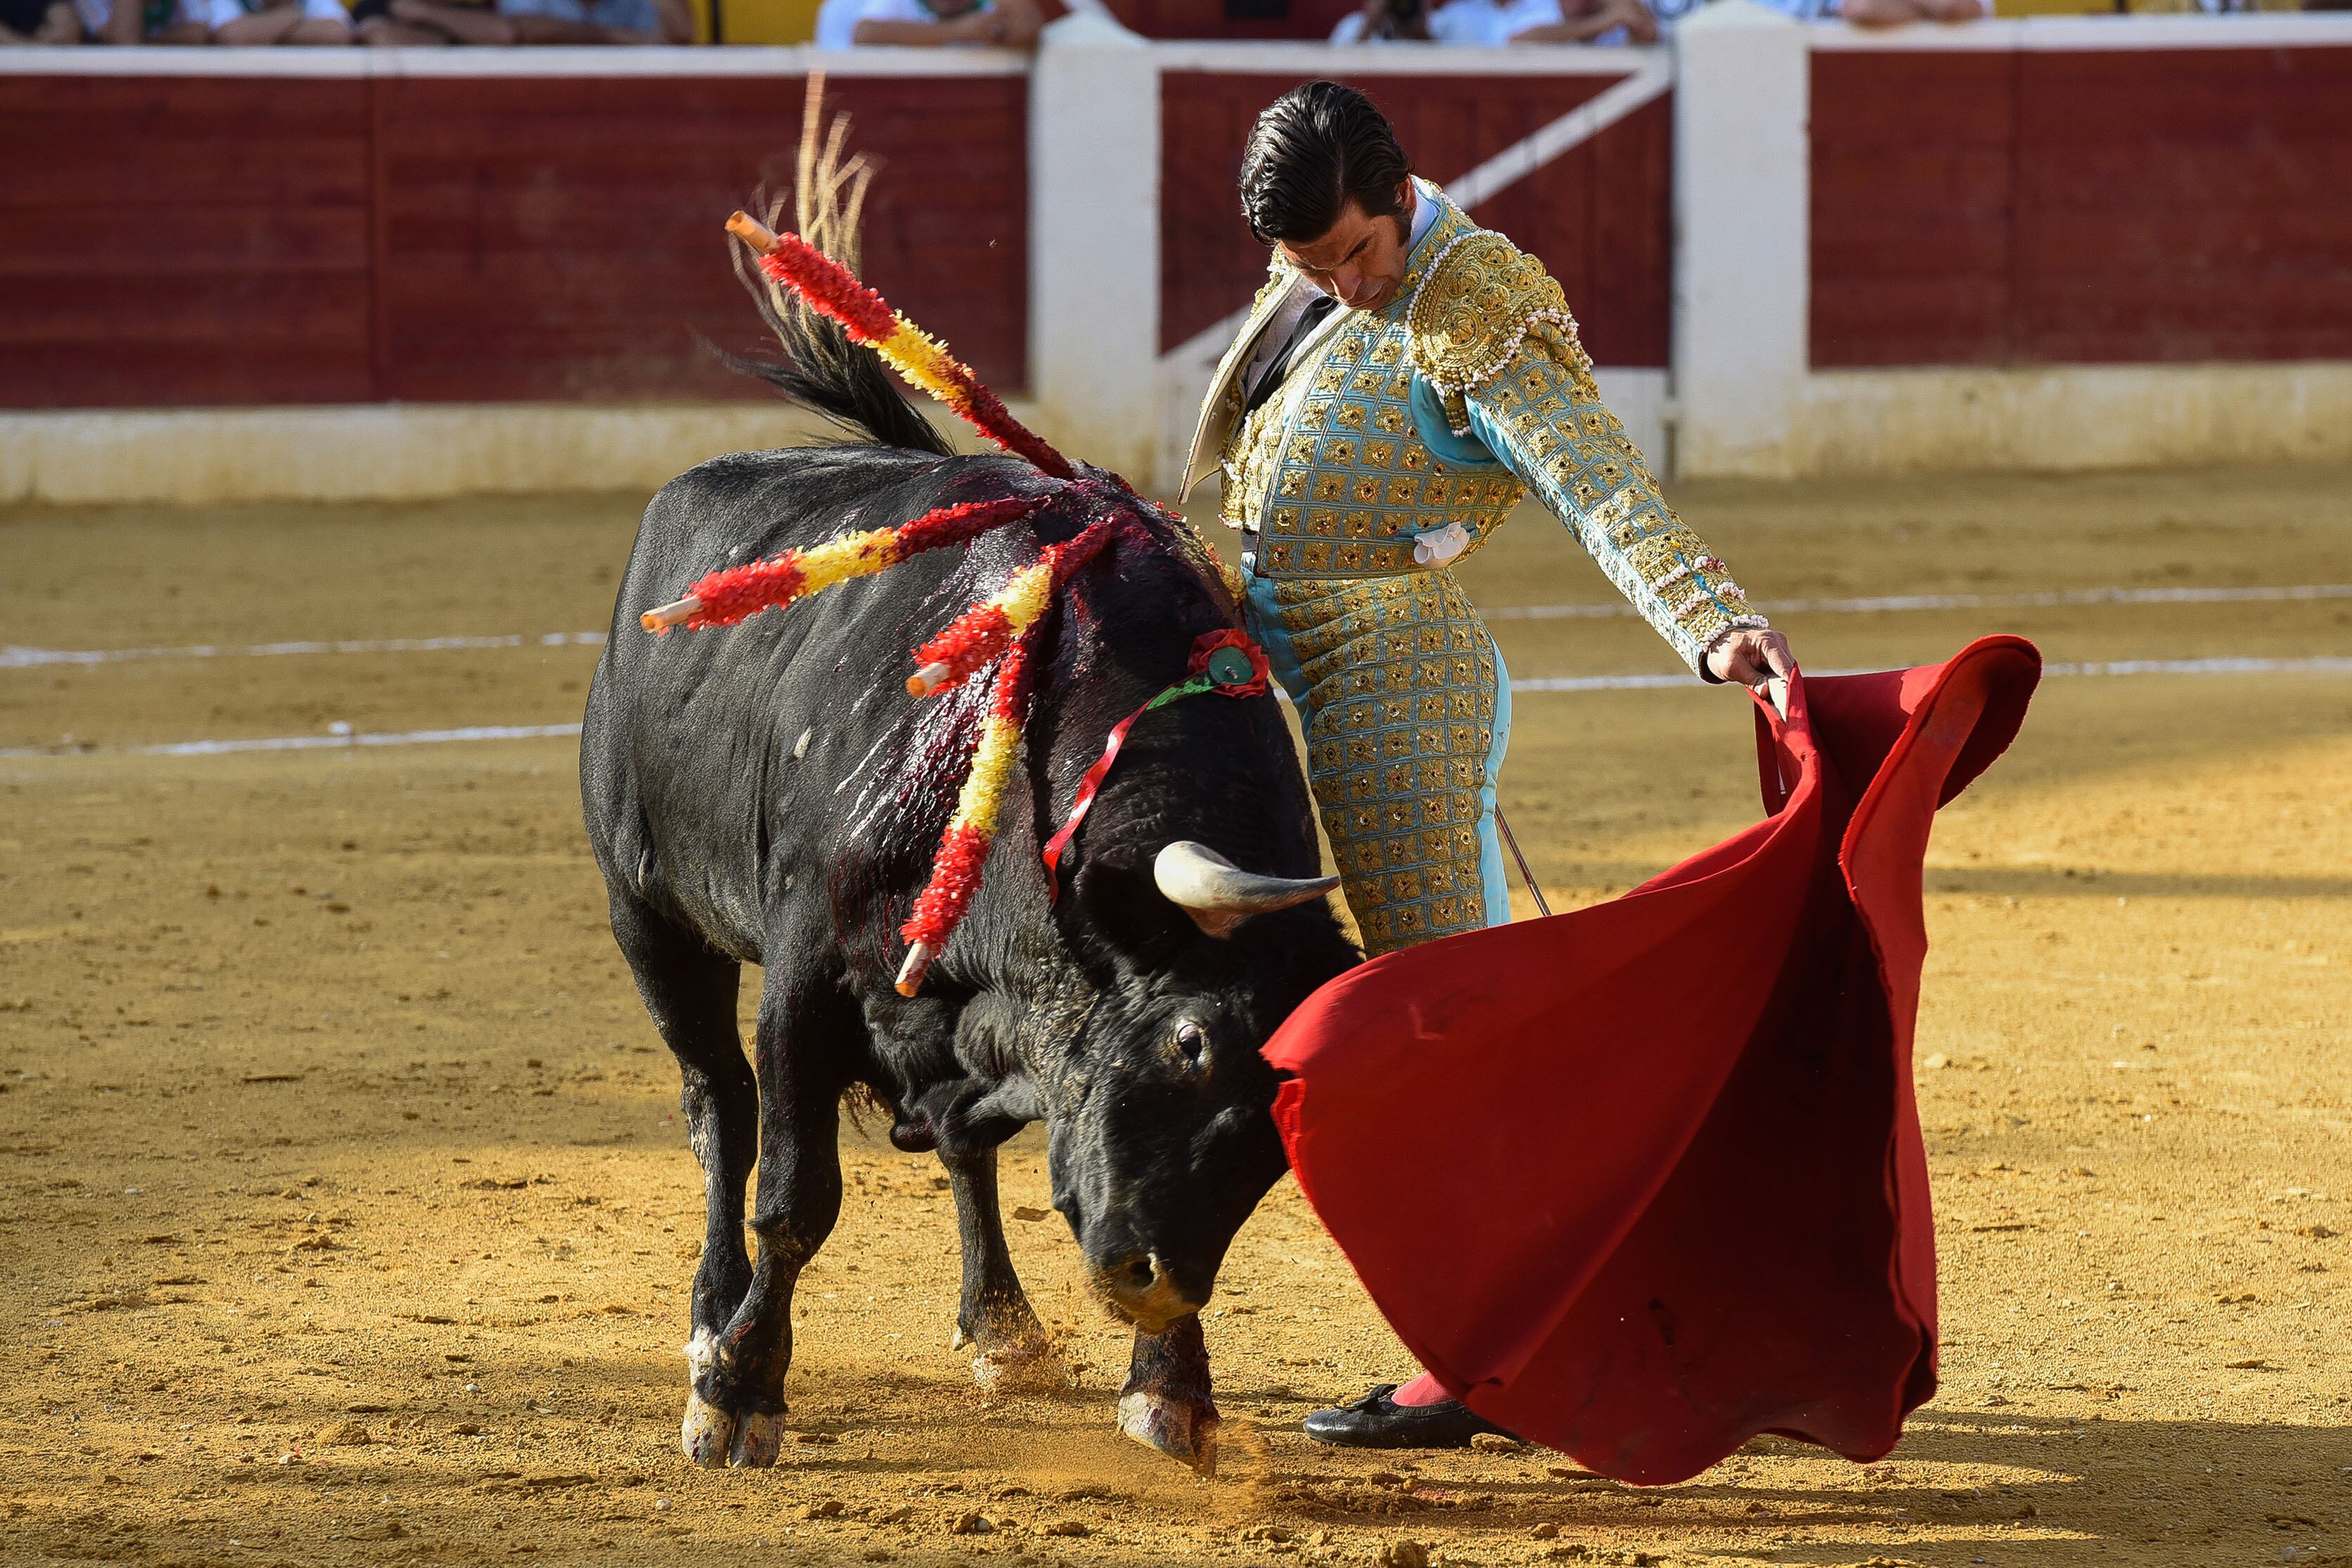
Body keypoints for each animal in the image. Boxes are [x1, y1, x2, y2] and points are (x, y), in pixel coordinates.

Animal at [578, 451, 1364, 1476]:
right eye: (1189, 1041)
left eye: (1288, 1103)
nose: (1155, 1282)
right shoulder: (806, 976)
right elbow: (794, 1196)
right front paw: (736, 1396)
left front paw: (1170, 1386)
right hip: (651, 920)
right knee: (721, 1108)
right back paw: (713, 1316)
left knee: (960, 1143)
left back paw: (1004, 1325)